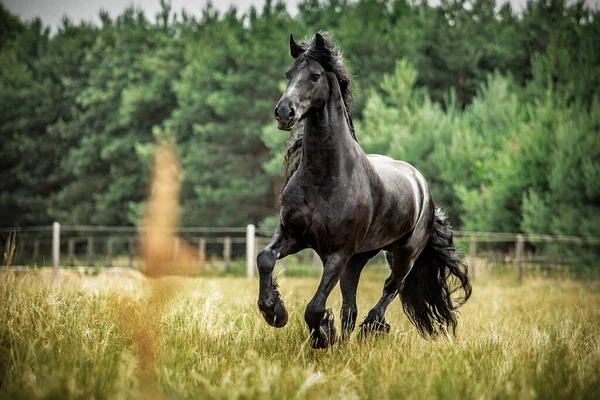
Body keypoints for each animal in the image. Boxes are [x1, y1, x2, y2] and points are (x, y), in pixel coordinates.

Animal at [255, 32, 472, 348]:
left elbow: (314, 308)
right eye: (289, 74)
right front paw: (275, 312)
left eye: (315, 75)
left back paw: (372, 326)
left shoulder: (338, 253)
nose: (284, 112)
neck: (324, 179)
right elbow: (265, 258)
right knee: (351, 305)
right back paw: (349, 337)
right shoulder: (293, 235)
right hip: (359, 258)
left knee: (392, 287)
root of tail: (421, 184)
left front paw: (322, 336)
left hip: (403, 254)